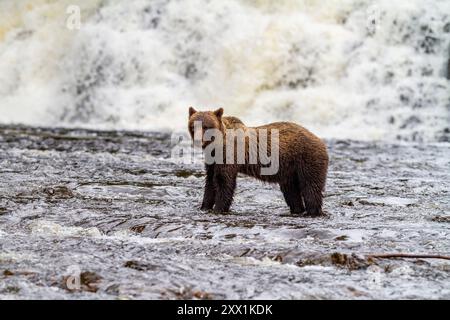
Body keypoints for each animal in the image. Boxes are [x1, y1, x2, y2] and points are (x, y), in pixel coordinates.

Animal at [188, 106, 328, 216]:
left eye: (206, 126)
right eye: (193, 126)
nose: (198, 141)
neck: (216, 145)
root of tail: (320, 140)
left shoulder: (229, 154)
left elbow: (224, 181)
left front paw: (219, 208)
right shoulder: (212, 159)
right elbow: (210, 181)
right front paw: (204, 207)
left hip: (307, 159)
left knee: (311, 188)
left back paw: (313, 211)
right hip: (290, 170)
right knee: (291, 191)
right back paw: (297, 210)